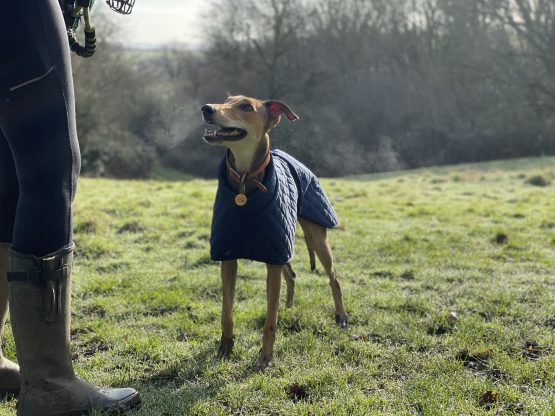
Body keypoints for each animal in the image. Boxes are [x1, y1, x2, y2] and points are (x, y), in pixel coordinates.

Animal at [200, 96, 348, 368]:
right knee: (292, 274)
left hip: (314, 236)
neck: (245, 182)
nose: (207, 109)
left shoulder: (273, 258)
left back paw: (341, 316)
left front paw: (265, 358)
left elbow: (270, 319)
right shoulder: (229, 256)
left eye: (246, 107)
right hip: (282, 245)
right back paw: (288, 307)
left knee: (333, 277)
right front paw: (225, 348)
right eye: (226, 100)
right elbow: (226, 311)